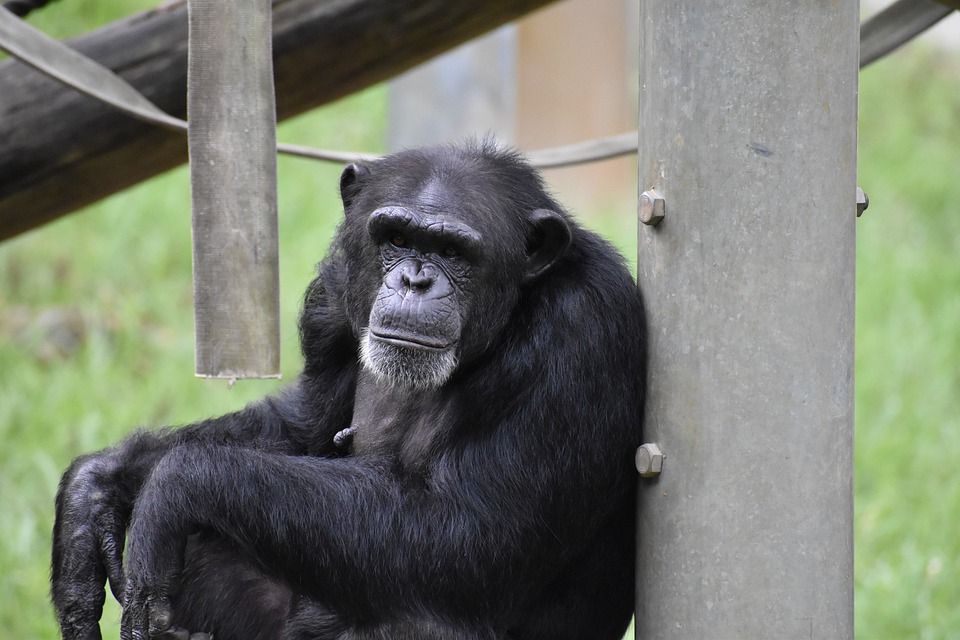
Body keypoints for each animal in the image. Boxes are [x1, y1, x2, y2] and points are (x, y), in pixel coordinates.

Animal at [47, 142, 644, 640]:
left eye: (454, 252)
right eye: (397, 239)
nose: (415, 280)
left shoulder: (579, 331)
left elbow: (472, 538)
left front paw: (174, 484)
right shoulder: (332, 298)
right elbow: (302, 426)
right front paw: (96, 489)